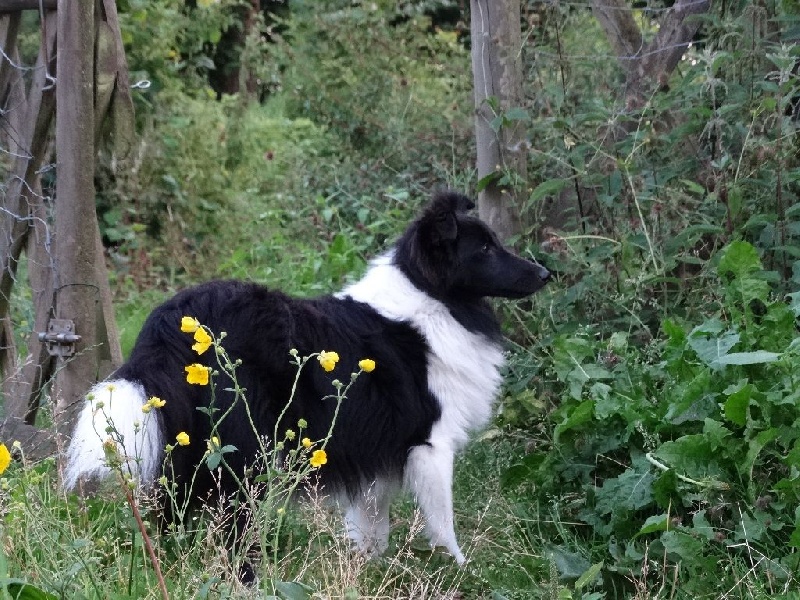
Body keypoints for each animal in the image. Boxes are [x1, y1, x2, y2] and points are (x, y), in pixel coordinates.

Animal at [64, 189, 552, 568]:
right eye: (483, 250)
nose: (547, 274)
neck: (432, 295)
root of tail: (166, 328)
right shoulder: (430, 445)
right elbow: (443, 524)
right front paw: (460, 569)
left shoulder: (373, 453)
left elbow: (372, 524)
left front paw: (367, 570)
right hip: (241, 455)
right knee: (230, 524)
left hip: (190, 451)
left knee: (172, 515)